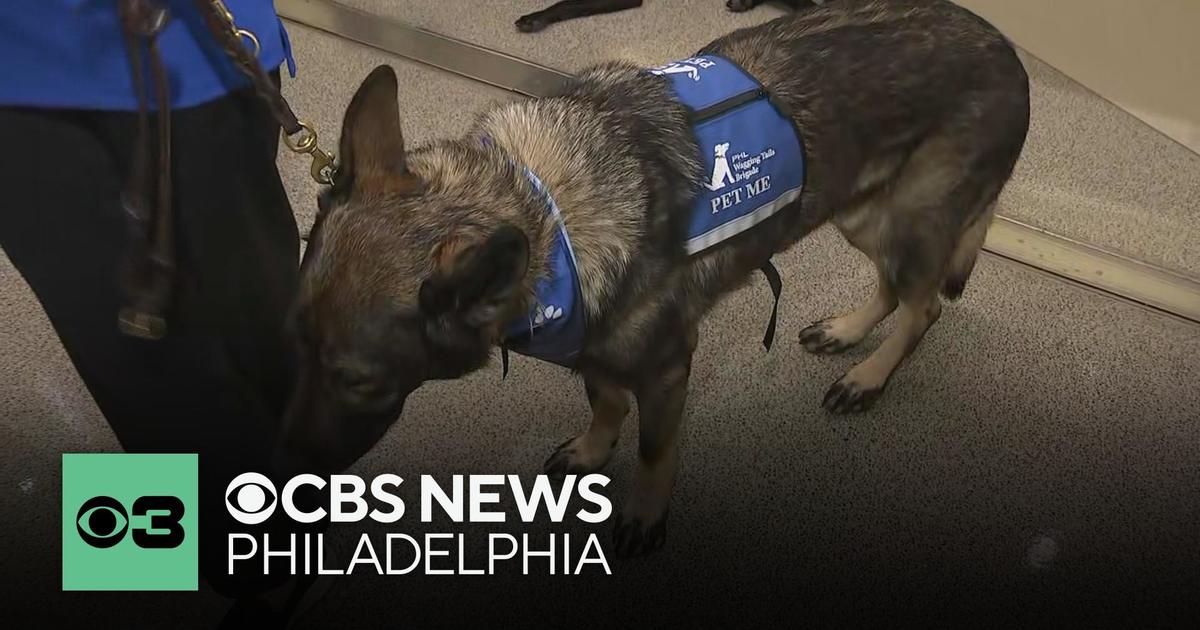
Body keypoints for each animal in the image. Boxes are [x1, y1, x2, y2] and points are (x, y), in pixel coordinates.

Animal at [276, 2, 1027, 556]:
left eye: (359, 381)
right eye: (295, 345)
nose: (284, 482)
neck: (545, 211)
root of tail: (1006, 49)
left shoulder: (667, 371)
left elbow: (653, 448)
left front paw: (643, 512)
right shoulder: (594, 348)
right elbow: (606, 400)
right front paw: (592, 449)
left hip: (907, 222)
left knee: (925, 306)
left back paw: (869, 375)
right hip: (863, 213)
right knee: (898, 288)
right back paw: (848, 331)